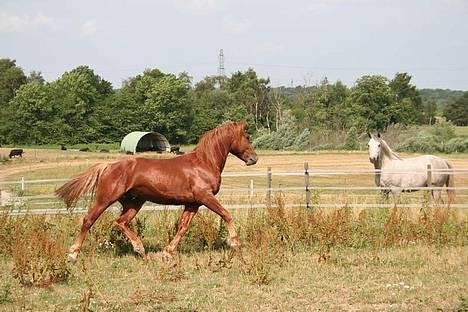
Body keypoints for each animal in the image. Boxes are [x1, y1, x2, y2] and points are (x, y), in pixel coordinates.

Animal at [57, 120, 260, 262]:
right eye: (247, 137)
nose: (254, 159)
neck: (204, 163)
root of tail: (108, 166)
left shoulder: (193, 203)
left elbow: (183, 227)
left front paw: (167, 252)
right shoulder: (205, 197)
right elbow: (226, 215)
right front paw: (235, 243)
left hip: (134, 203)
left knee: (121, 222)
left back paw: (140, 249)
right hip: (105, 199)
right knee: (88, 220)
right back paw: (73, 254)